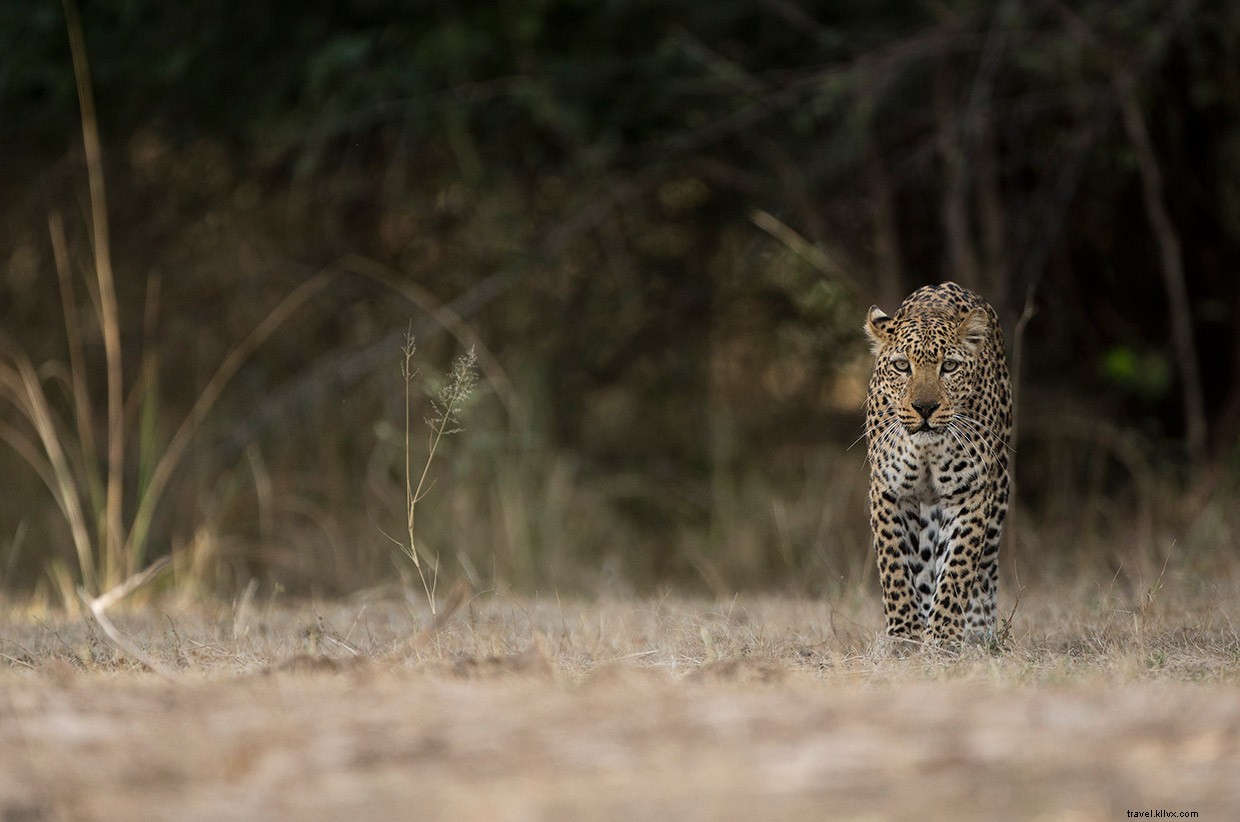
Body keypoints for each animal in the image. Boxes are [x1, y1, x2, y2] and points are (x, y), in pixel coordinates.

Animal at [862, 281, 1013, 649]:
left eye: (950, 367)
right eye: (902, 366)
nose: (925, 408)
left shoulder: (970, 493)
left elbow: (959, 566)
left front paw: (943, 636)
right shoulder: (889, 492)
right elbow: (895, 566)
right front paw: (904, 634)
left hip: (999, 494)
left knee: (985, 566)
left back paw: (979, 632)